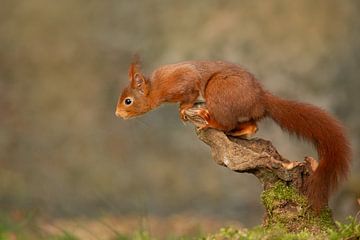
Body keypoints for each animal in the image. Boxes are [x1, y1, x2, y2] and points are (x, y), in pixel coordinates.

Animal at [116, 57, 352, 211]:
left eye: (128, 101)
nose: (117, 114)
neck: (157, 88)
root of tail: (260, 98)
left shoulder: (184, 83)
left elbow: (190, 94)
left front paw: (184, 109)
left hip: (219, 91)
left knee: (227, 122)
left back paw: (210, 121)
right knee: (253, 126)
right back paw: (239, 130)